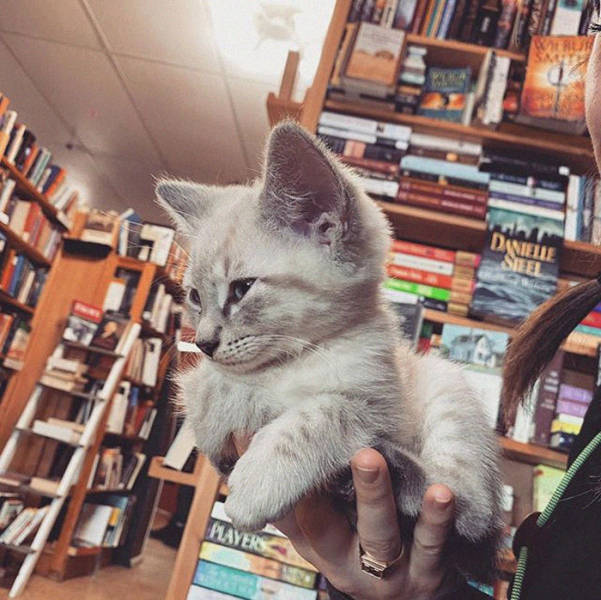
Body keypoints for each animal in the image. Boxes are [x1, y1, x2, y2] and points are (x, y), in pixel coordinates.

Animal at [155, 120, 502, 580]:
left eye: (242, 289)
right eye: (195, 296)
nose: (204, 342)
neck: (300, 356)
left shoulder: (379, 406)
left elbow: (320, 414)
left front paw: (255, 482)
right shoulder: (207, 380)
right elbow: (208, 392)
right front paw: (225, 418)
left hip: (445, 384)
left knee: (469, 508)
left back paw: (392, 471)